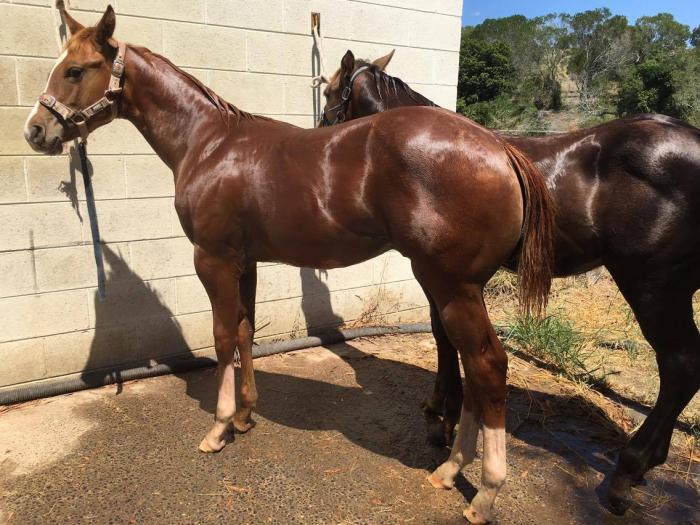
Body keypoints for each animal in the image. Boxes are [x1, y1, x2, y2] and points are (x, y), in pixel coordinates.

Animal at [23, 5, 556, 523]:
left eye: (75, 69)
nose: (35, 130)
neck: (209, 143)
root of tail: (499, 148)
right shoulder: (247, 261)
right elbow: (244, 330)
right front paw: (243, 416)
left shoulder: (213, 259)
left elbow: (222, 337)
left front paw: (218, 428)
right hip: (457, 288)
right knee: (471, 367)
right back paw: (449, 470)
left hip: (452, 286)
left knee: (487, 367)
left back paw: (484, 492)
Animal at [319, 48, 700, 515]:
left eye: (329, 97)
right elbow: (447, 339)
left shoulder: (436, 275)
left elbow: (444, 338)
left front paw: (440, 418)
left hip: (653, 287)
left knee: (680, 365)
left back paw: (627, 472)